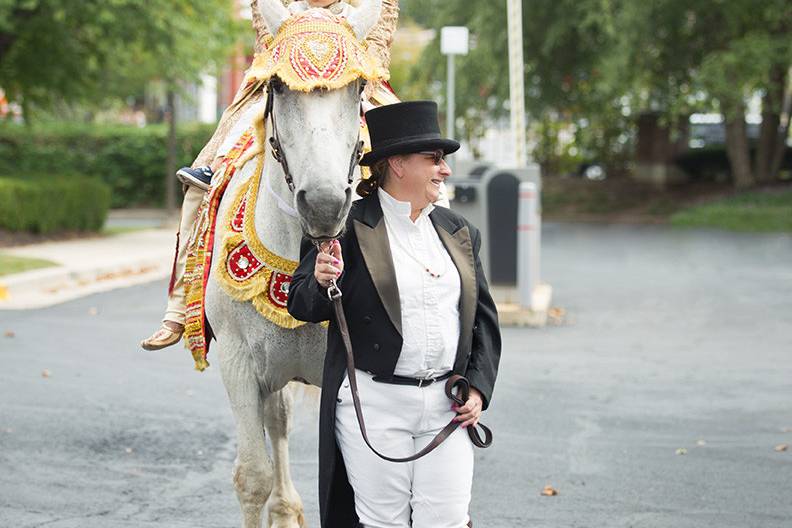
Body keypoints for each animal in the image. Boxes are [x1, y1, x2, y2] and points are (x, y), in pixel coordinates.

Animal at [204, 2, 384, 524]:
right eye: (279, 88)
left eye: (358, 88)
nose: (324, 205)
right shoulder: (239, 364)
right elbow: (252, 477)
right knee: (278, 427)